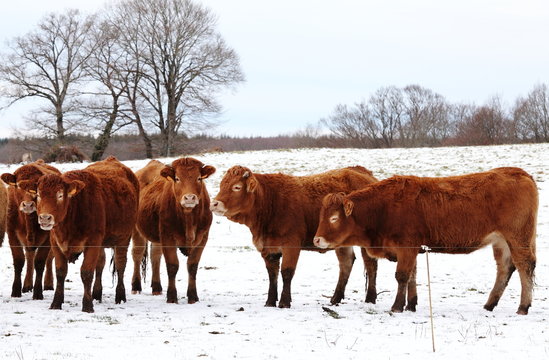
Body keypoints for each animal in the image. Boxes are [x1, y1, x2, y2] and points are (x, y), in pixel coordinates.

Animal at [0, 162, 59, 300]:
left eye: (36, 189)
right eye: (18, 185)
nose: (28, 205)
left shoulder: (47, 239)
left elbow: (40, 262)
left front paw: (38, 292)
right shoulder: (12, 235)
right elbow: (19, 260)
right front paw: (16, 291)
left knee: (48, 259)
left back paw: (48, 284)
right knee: (29, 256)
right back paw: (27, 285)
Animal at [17, 157, 138, 312]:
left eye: (60, 195)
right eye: (38, 195)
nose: (45, 218)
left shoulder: (93, 243)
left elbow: (86, 272)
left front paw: (87, 305)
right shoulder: (56, 243)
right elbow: (61, 272)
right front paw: (56, 303)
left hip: (124, 238)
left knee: (121, 264)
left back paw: (120, 296)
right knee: (100, 264)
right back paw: (96, 294)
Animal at [135, 156, 216, 302]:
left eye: (199, 178)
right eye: (177, 178)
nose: (189, 198)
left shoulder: (203, 238)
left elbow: (192, 266)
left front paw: (193, 296)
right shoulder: (168, 237)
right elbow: (172, 266)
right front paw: (172, 296)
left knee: (155, 255)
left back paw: (156, 287)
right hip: (136, 230)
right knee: (137, 254)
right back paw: (136, 286)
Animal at [211, 165, 382, 308]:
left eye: (236, 187)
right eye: (221, 185)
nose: (214, 204)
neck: (270, 202)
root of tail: (361, 171)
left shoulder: (291, 243)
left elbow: (287, 272)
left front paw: (284, 302)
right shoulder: (268, 247)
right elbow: (272, 275)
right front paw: (270, 302)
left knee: (370, 264)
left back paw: (370, 298)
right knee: (346, 263)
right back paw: (335, 299)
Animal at [314, 167, 536, 314]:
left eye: (334, 218)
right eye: (321, 217)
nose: (317, 240)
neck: (383, 208)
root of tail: (520, 173)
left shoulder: (406, 247)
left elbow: (402, 276)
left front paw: (397, 306)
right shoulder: (412, 249)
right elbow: (412, 275)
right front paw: (411, 304)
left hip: (518, 237)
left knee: (525, 266)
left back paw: (523, 306)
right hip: (501, 241)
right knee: (505, 268)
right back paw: (490, 304)